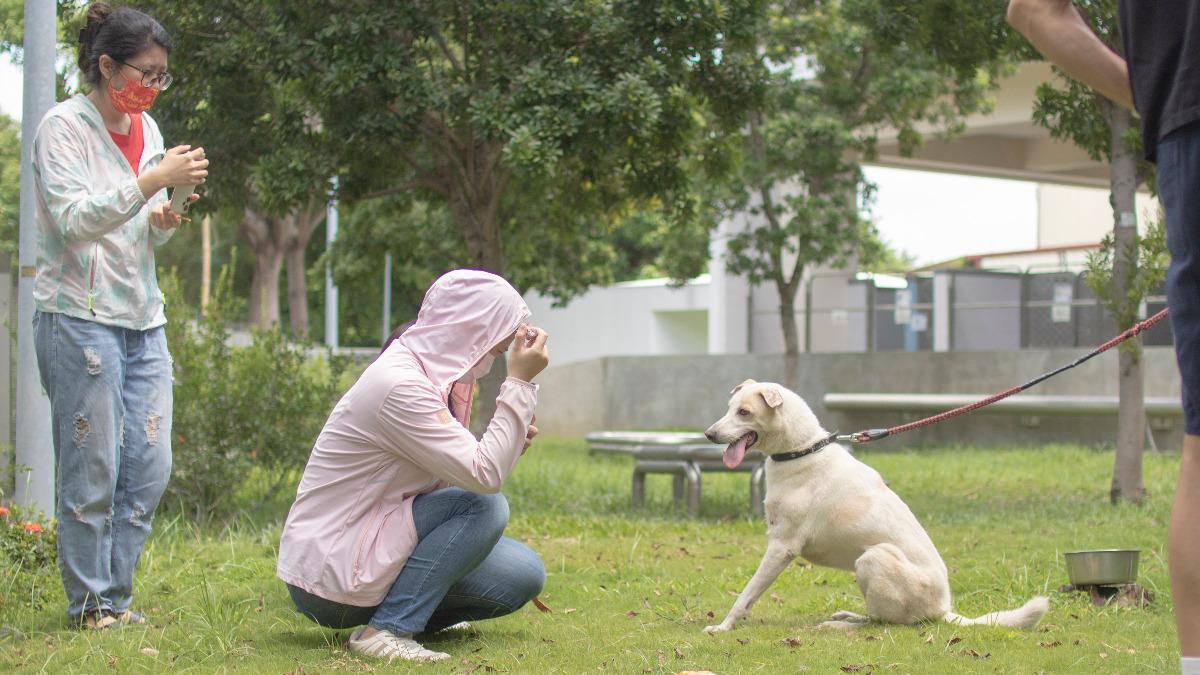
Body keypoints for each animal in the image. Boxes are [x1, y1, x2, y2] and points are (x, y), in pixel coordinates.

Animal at [700, 379, 1046, 629]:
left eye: (744, 412)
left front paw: (723, 627)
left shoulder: (781, 547)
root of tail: (944, 609)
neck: (802, 450)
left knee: (884, 623)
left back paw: (839, 625)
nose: (708, 433)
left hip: (872, 559)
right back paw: (846, 616)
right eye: (729, 408)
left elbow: (746, 594)